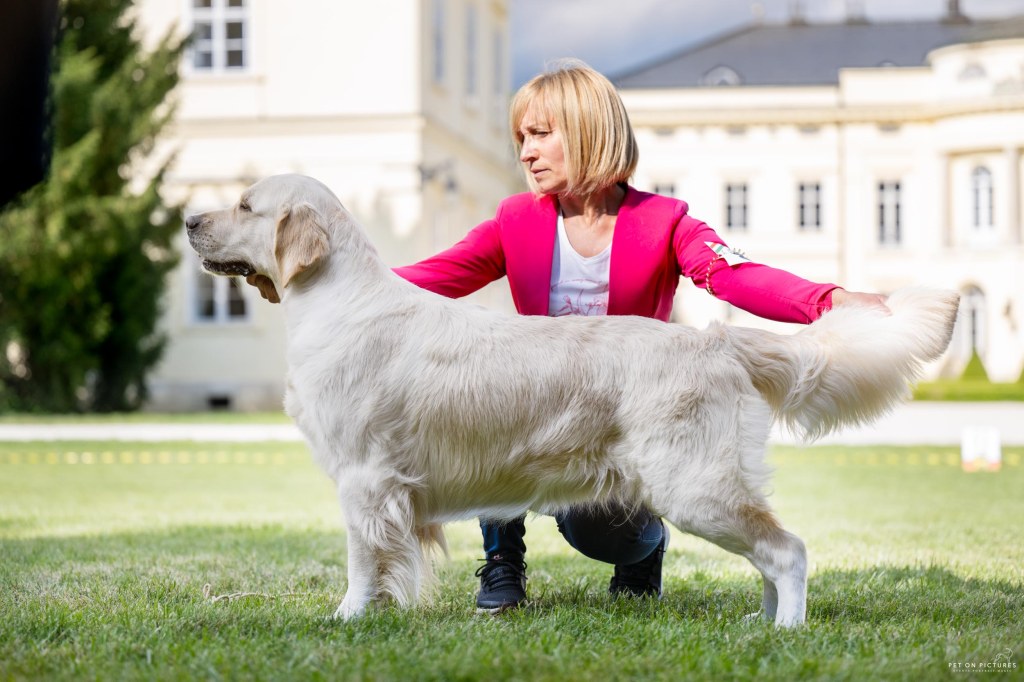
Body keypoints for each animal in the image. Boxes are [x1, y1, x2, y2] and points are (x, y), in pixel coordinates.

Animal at [185, 174, 959, 627]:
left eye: (246, 205)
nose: (189, 220)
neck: (338, 300)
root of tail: (715, 341)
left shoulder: (363, 476)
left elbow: (360, 559)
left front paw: (348, 616)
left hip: (694, 484)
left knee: (788, 548)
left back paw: (787, 630)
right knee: (771, 551)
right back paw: (761, 621)